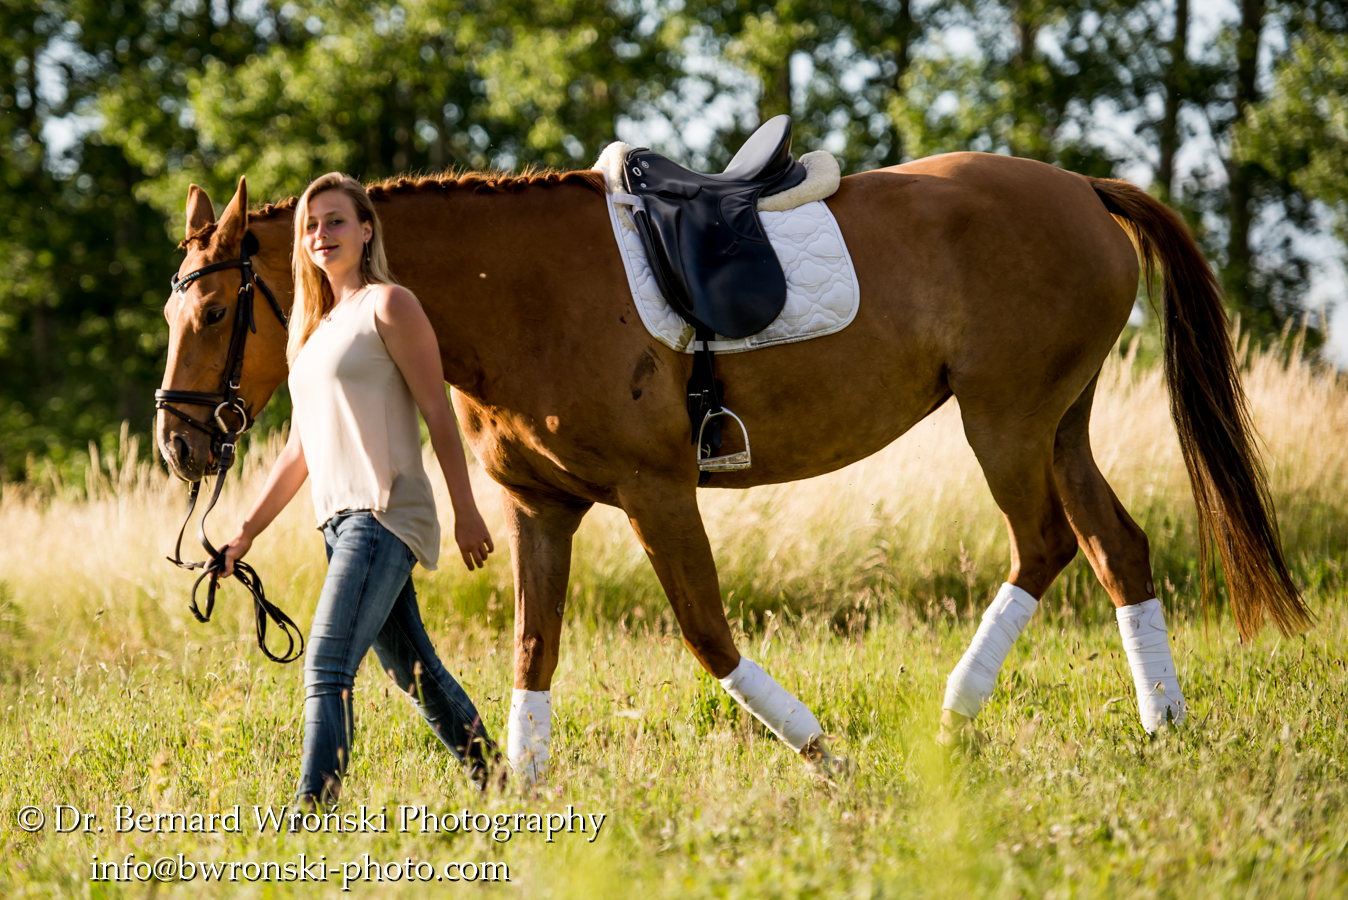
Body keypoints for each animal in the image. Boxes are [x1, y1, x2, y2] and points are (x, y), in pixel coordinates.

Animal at [156, 152, 1308, 774]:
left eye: (211, 314)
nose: (179, 442)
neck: (526, 290)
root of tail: (1080, 187)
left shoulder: (659, 494)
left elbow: (707, 635)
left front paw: (821, 755)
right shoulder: (541, 508)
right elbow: (533, 648)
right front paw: (525, 787)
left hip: (1006, 420)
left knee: (1044, 545)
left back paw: (952, 713)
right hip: (1059, 421)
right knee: (1116, 547)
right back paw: (1163, 724)